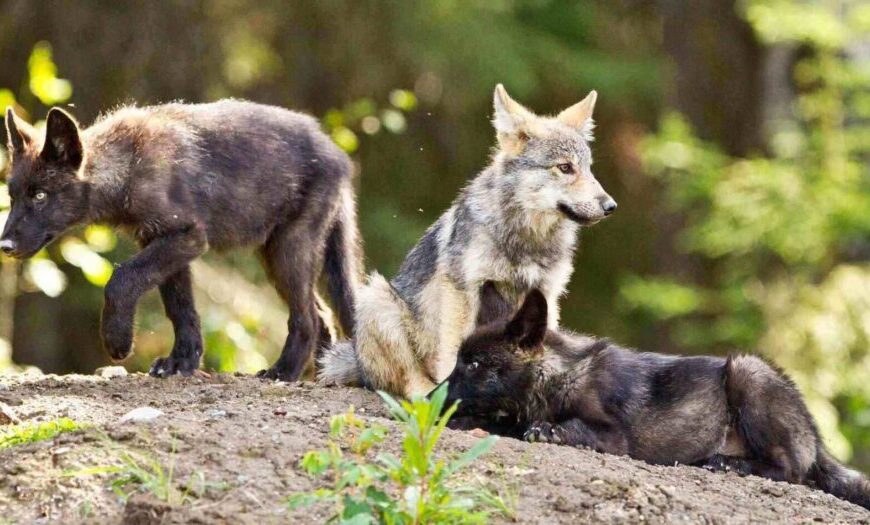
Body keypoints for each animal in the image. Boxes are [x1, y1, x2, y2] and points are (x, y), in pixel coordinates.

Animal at [1, 100, 361, 381]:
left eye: (40, 196)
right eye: (13, 197)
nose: (4, 247)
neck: (129, 166)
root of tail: (337, 153)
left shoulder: (188, 237)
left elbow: (121, 279)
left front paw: (118, 341)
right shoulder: (161, 242)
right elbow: (182, 311)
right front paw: (181, 363)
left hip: (289, 250)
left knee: (309, 318)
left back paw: (283, 372)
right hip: (274, 255)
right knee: (324, 315)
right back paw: (320, 374)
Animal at [319, 84, 617, 398]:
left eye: (589, 169)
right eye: (565, 168)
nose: (610, 205)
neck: (525, 240)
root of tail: (357, 363)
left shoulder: (546, 292)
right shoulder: (463, 290)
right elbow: (454, 350)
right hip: (377, 298)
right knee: (407, 382)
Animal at [442, 283, 870, 510]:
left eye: (475, 365)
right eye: (460, 361)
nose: (430, 397)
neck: (561, 374)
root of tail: (814, 433)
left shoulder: (613, 437)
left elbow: (565, 425)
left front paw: (549, 429)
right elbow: (499, 421)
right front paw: (465, 421)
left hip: (747, 371)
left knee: (792, 471)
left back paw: (728, 464)